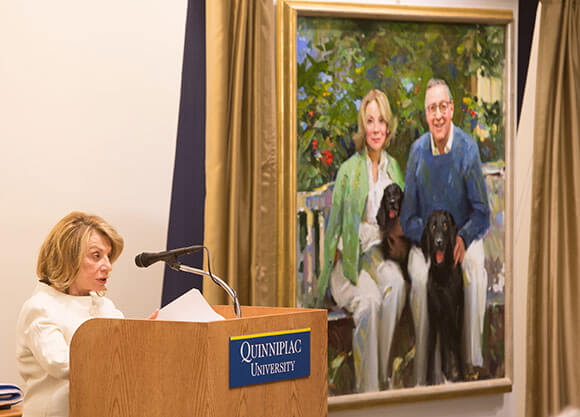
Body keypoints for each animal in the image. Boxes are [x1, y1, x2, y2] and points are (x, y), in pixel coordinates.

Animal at [420, 208, 464, 384]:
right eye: (433, 227)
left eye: (445, 225)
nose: (438, 242)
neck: (441, 275)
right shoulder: (433, 316)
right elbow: (431, 350)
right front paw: (429, 381)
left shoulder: (452, 312)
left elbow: (454, 347)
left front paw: (458, 376)